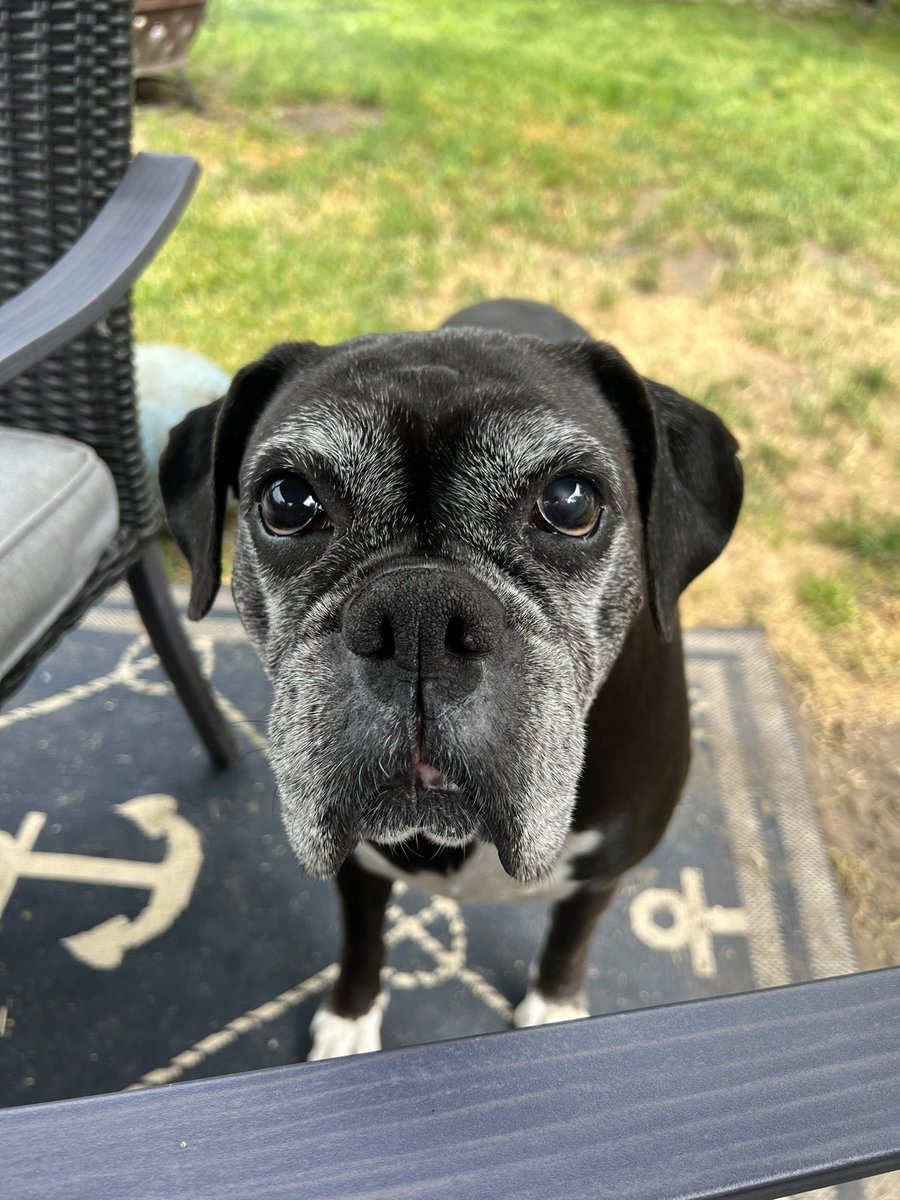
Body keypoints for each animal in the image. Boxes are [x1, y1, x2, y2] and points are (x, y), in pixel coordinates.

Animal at [158, 300, 744, 1060]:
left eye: (570, 501)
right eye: (287, 500)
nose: (419, 615)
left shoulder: (602, 875)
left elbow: (570, 938)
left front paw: (554, 1007)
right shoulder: (359, 871)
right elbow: (363, 940)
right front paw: (351, 1017)